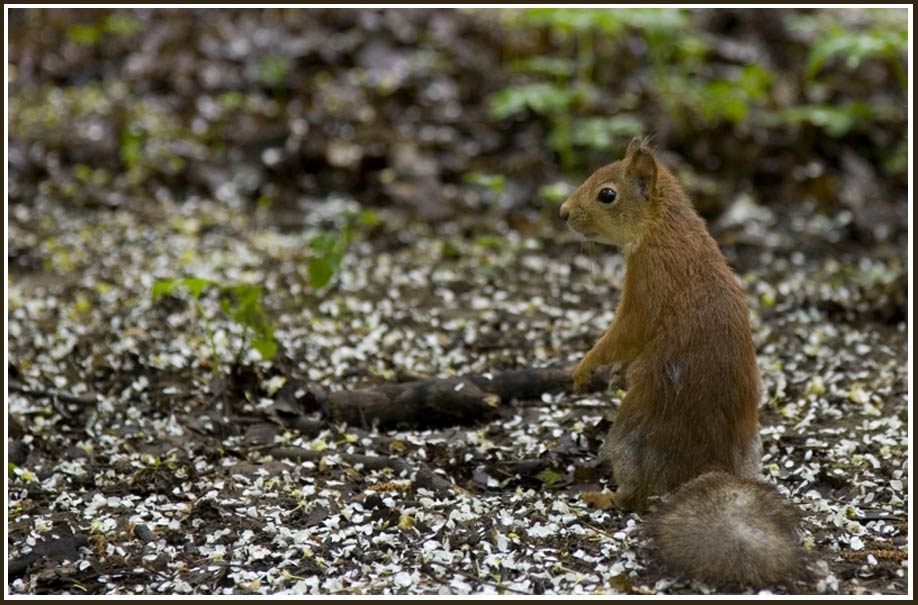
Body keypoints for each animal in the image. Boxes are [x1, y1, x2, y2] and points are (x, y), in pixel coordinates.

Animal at [560, 138, 808, 588]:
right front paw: (616, 373)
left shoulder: (648, 282)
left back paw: (603, 495)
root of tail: (708, 466)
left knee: (635, 495)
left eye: (607, 194)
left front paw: (586, 367)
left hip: (629, 434)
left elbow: (626, 333)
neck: (667, 226)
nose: (564, 213)